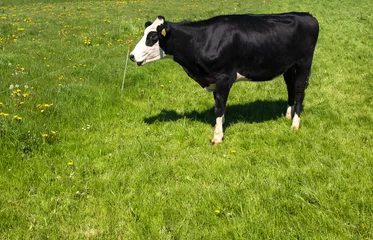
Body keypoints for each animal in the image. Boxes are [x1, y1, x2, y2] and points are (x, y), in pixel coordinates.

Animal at [129, 13, 318, 144]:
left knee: (299, 91)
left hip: (304, 63)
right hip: (288, 66)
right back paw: (288, 115)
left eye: (152, 37)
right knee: (290, 87)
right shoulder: (214, 79)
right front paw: (220, 125)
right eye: (145, 34)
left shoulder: (224, 77)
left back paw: (295, 124)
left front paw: (217, 137)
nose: (131, 56)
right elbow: (218, 104)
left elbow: (219, 107)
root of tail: (306, 15)